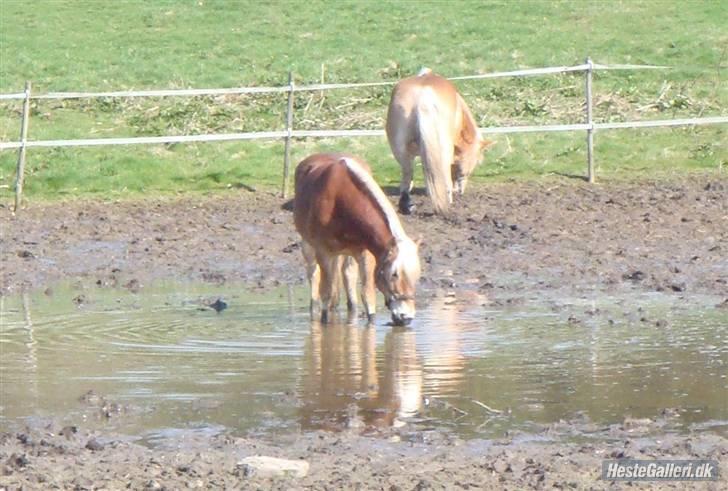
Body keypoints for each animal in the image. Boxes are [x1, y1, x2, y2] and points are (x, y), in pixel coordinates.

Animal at [294, 152, 420, 324]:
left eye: (417, 275)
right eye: (394, 274)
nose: (406, 317)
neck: (341, 199)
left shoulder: (366, 254)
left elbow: (367, 296)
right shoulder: (323, 253)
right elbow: (326, 294)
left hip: (348, 255)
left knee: (348, 276)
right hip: (308, 246)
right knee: (313, 275)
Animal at [384, 68, 492, 214]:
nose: (460, 191)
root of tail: (423, 96)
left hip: (400, 151)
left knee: (406, 178)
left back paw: (406, 206)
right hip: (443, 150)